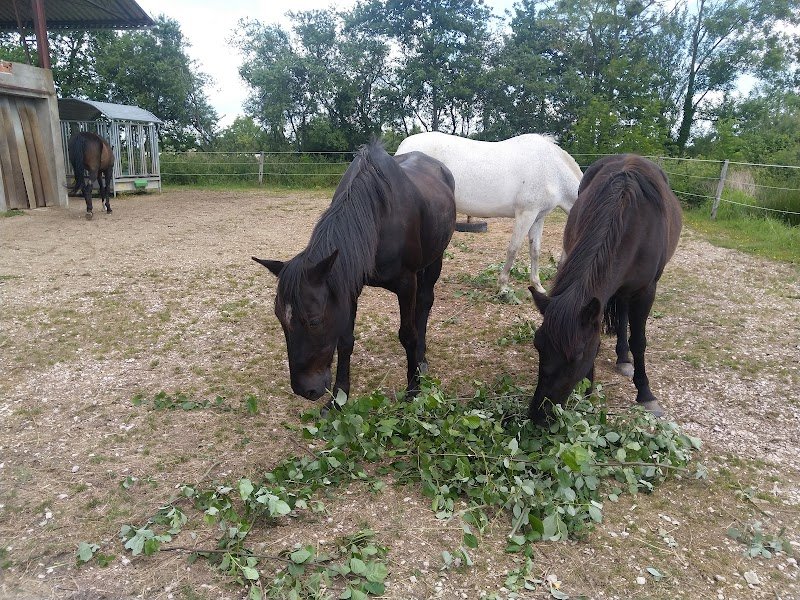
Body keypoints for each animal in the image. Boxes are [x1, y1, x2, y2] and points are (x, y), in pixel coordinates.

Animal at [252, 141, 456, 405]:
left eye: (314, 321)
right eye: (279, 318)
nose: (305, 390)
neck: (377, 219)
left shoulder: (406, 283)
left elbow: (408, 334)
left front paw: (413, 390)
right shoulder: (347, 286)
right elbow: (345, 341)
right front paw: (338, 398)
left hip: (434, 261)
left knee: (424, 303)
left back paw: (421, 360)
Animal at [395, 132, 582, 294]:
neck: (552, 169)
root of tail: (403, 148)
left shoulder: (538, 217)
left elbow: (535, 250)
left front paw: (537, 285)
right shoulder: (526, 214)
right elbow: (513, 248)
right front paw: (503, 285)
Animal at [528, 154, 682, 426]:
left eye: (577, 355)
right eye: (538, 345)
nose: (538, 415)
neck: (631, 222)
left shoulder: (646, 291)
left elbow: (639, 341)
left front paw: (645, 394)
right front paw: (588, 392)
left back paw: (625, 359)